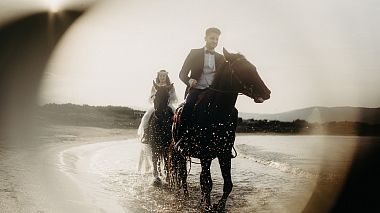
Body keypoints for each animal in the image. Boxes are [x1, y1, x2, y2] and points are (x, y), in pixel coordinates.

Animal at [169, 47, 270, 211]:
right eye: (242, 69)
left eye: (253, 68)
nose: (267, 93)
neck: (215, 112)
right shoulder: (205, 155)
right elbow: (206, 182)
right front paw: (208, 205)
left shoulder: (224, 153)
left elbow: (227, 184)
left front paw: (218, 205)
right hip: (180, 151)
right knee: (183, 174)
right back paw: (185, 196)